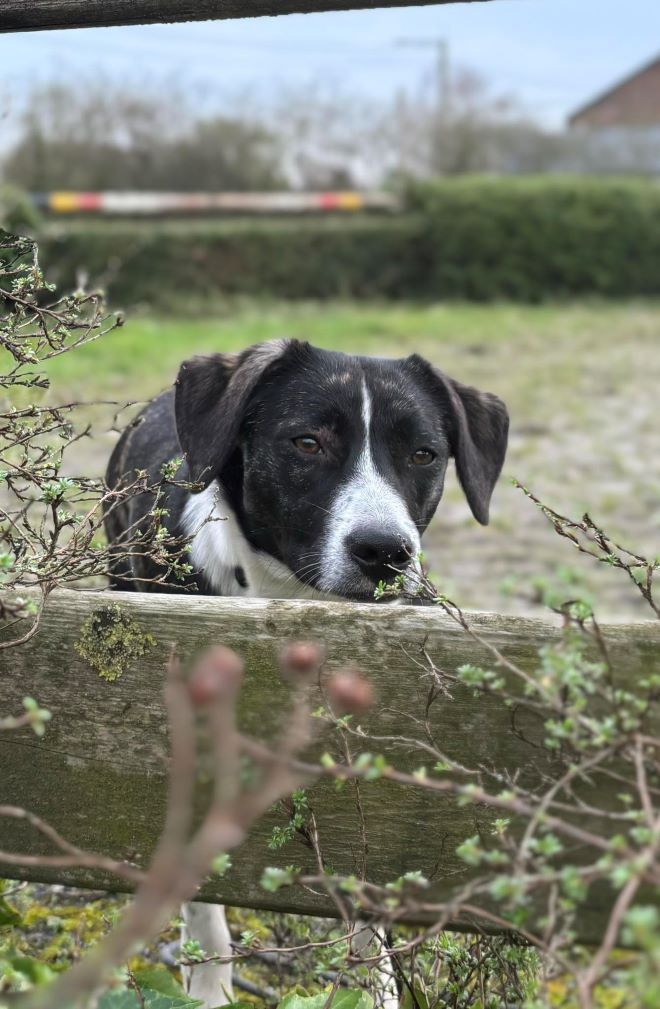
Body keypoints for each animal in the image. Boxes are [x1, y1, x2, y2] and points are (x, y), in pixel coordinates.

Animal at [104, 337, 512, 1000]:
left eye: (424, 454)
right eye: (307, 443)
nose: (385, 552)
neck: (292, 601)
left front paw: (374, 989)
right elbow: (201, 898)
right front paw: (208, 990)